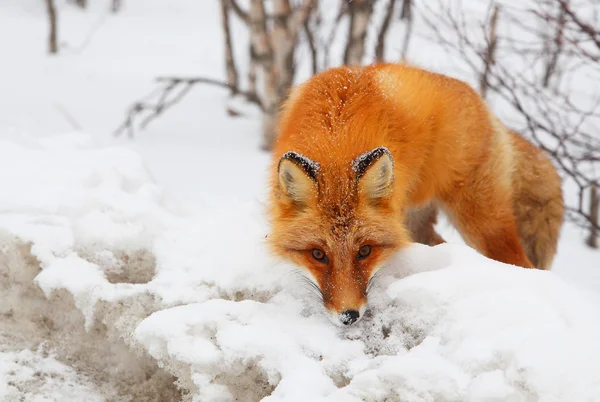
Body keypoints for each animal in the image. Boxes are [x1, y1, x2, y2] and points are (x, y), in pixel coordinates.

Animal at [266, 63, 564, 326]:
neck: (336, 138)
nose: (349, 316)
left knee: (522, 263)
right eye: (317, 254)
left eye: (365, 251)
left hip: (482, 224)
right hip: (417, 223)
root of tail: (483, 105)